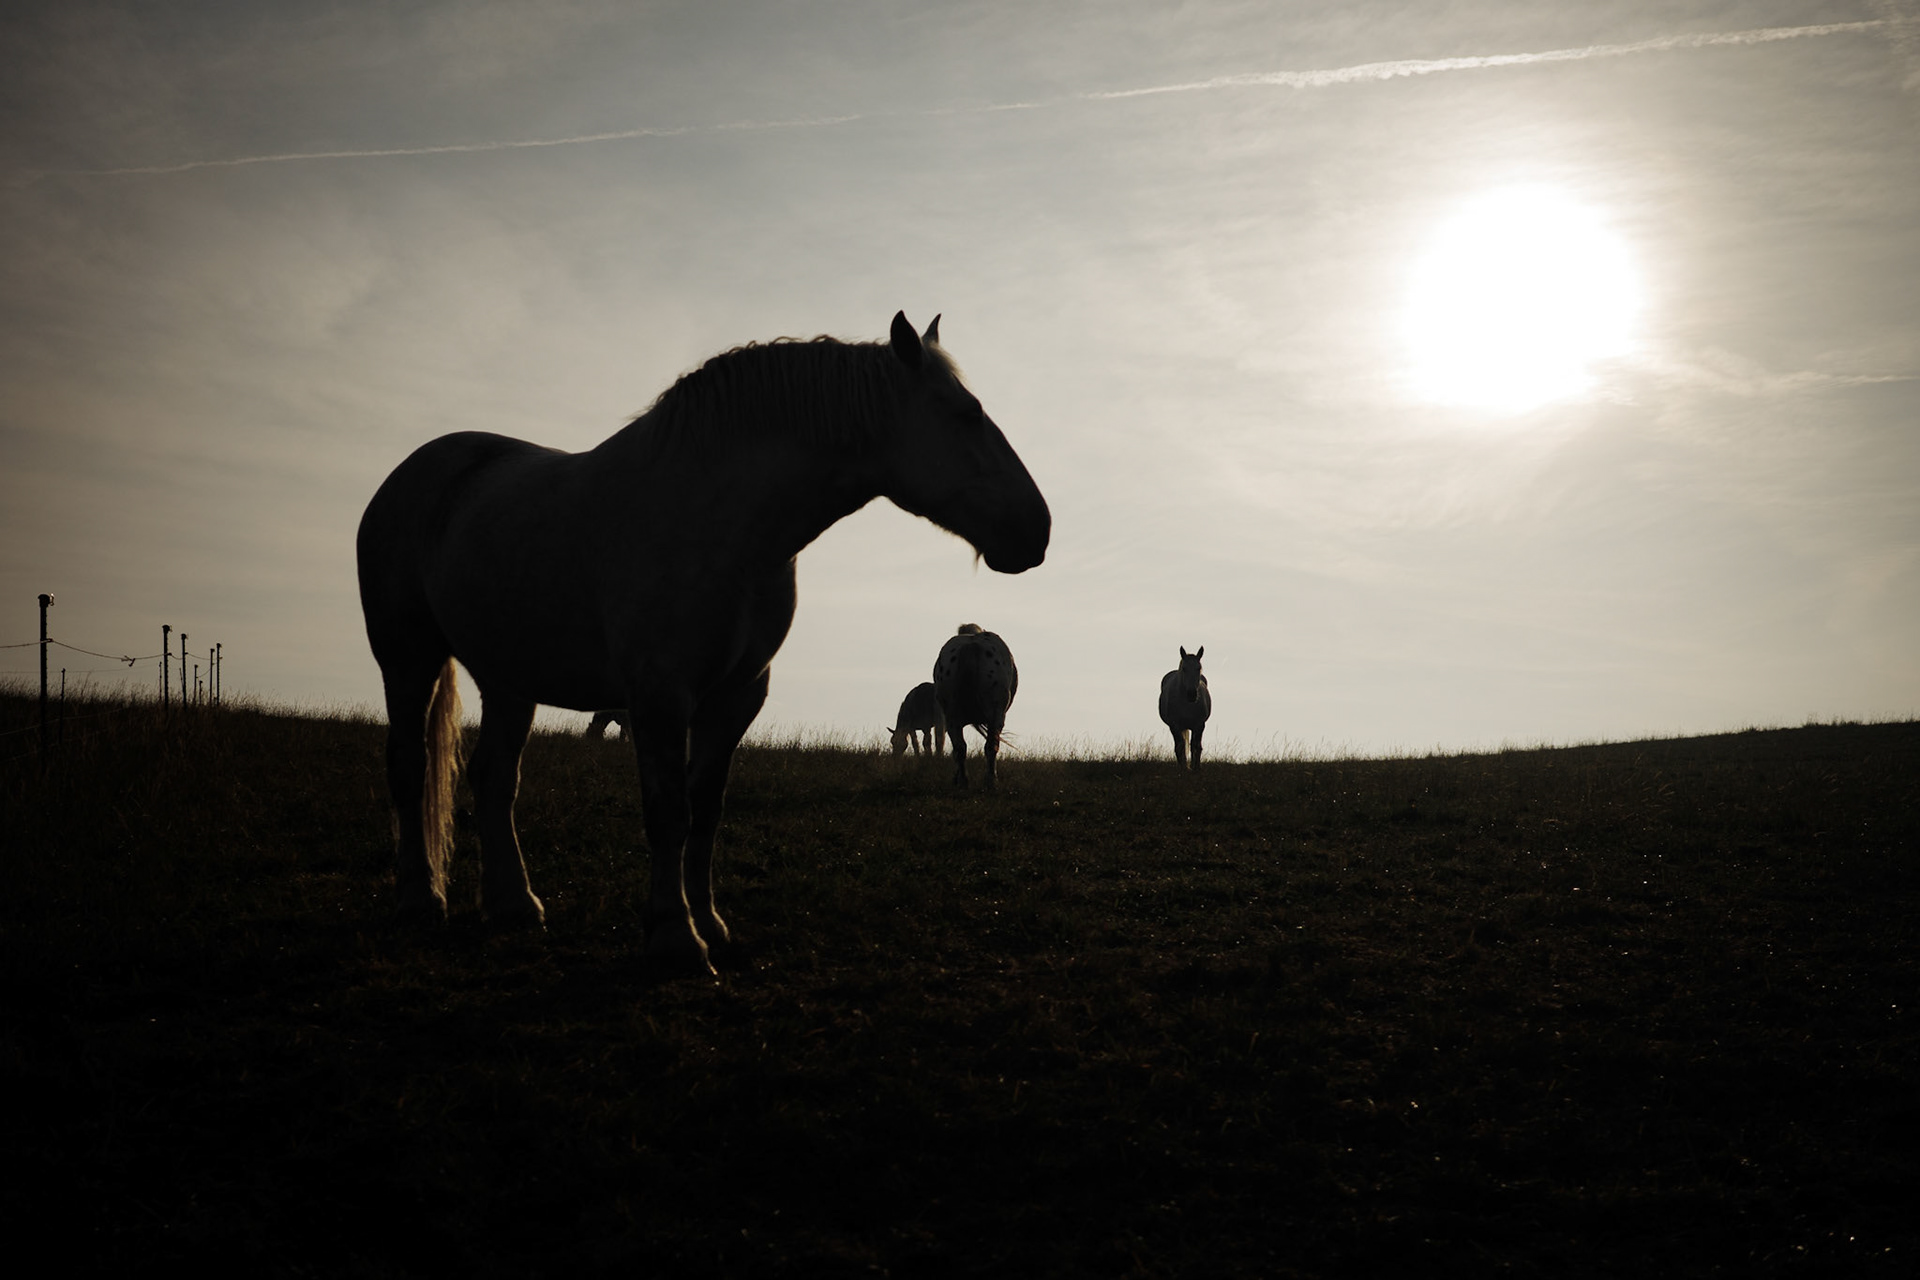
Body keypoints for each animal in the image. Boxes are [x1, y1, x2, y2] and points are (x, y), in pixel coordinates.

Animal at [933, 623, 1017, 789]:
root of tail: (971, 646)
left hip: (951, 716)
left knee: (959, 748)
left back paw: (963, 781)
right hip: (995, 713)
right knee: (991, 746)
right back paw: (990, 780)